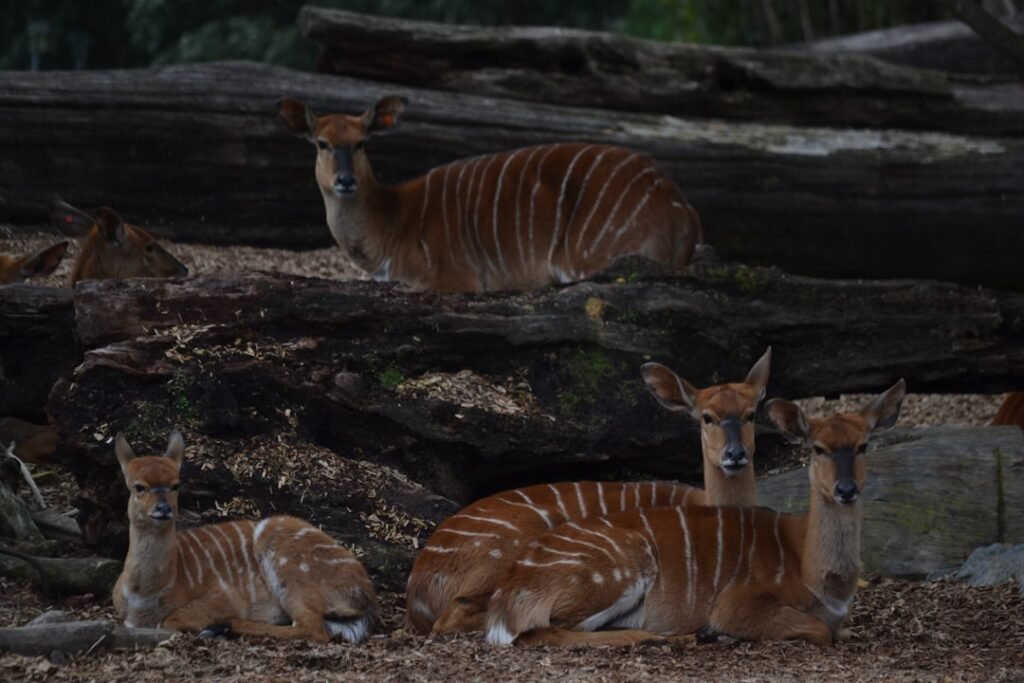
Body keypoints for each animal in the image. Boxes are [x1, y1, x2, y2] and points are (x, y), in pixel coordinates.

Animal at [113, 430, 376, 643]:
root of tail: (365, 593)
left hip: (289, 570)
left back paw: (220, 628)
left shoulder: (225, 597)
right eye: (138, 487)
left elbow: (170, 621)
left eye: (176, 485)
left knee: (312, 629)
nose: (163, 508)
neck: (145, 594)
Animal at [276, 94, 704, 292]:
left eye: (362, 142)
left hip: (587, 257)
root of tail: (683, 211)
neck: (392, 223)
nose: (346, 181)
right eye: (321, 143)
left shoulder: (454, 280)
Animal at [485, 376, 905, 651]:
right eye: (818, 448)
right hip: (616, 574)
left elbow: (840, 631)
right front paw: (715, 631)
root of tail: (508, 593)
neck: (815, 572)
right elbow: (819, 631)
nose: (846, 490)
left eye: (864, 445)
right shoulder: (736, 602)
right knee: (540, 632)